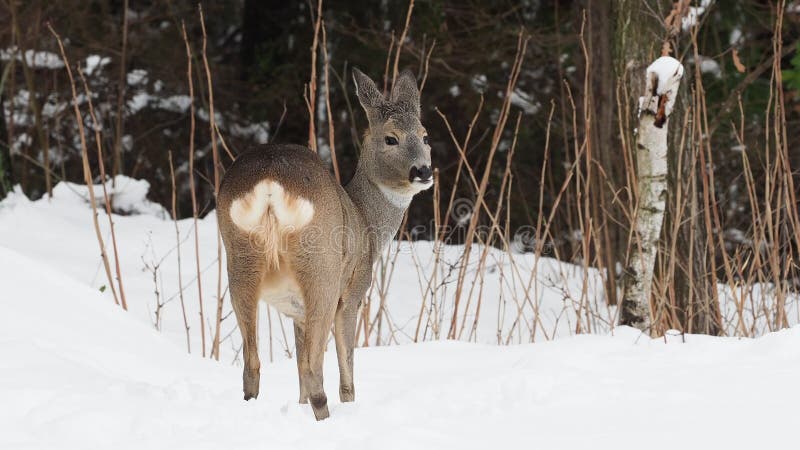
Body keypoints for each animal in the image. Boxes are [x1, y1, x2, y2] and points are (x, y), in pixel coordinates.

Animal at [217, 68, 432, 420]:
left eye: (425, 136)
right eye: (391, 138)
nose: (424, 171)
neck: (366, 220)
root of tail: (270, 181)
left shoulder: (296, 311)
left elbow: (299, 374)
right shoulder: (354, 291)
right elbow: (346, 372)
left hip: (240, 261)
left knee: (254, 367)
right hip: (322, 270)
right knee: (316, 375)